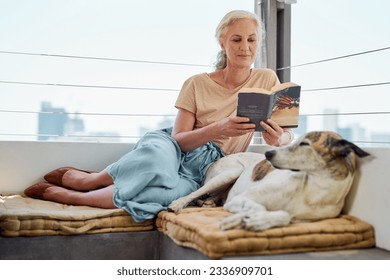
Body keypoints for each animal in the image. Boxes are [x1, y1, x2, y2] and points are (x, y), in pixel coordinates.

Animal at [168, 131, 368, 232]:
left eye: (305, 144)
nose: (268, 153)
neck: (311, 191)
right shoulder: (241, 199)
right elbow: (259, 208)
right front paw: (247, 218)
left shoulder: (300, 219)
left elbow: (285, 216)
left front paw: (255, 221)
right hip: (231, 172)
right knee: (194, 193)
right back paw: (178, 204)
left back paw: (210, 202)